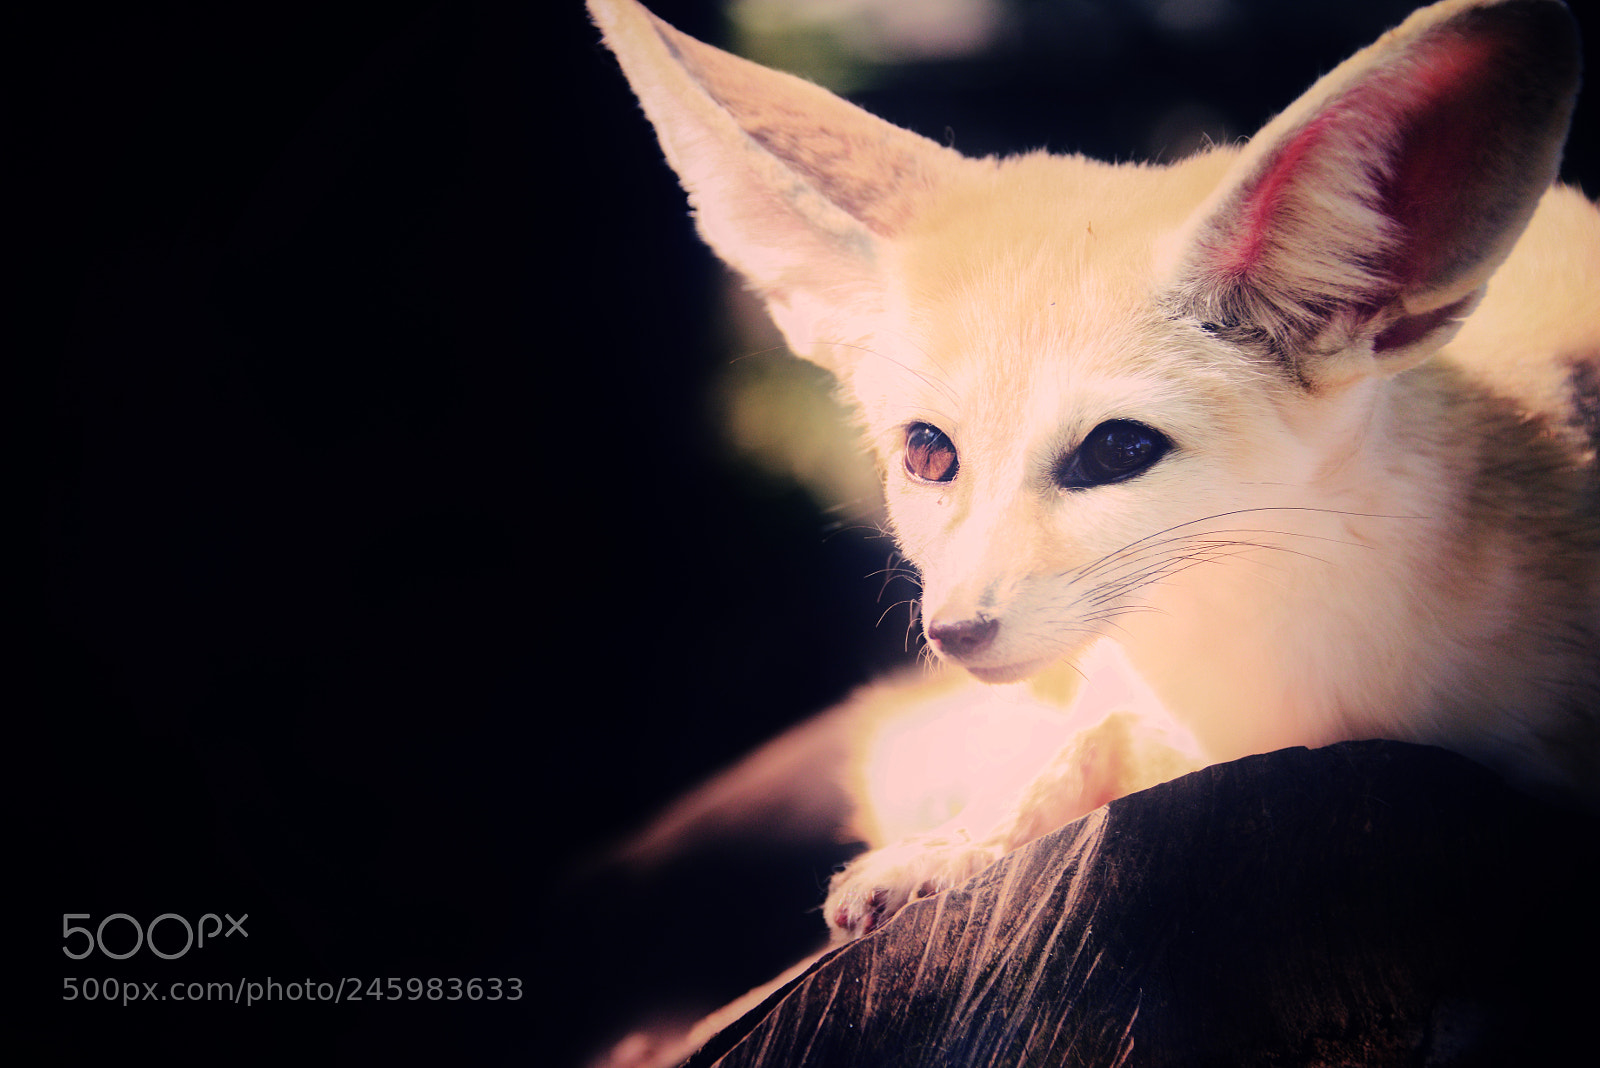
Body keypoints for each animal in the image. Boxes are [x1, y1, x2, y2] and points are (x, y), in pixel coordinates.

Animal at [588, 0, 1600, 943]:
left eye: (1117, 451)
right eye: (928, 452)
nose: (955, 632)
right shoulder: (1127, 698)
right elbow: (1070, 747)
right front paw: (952, 845)